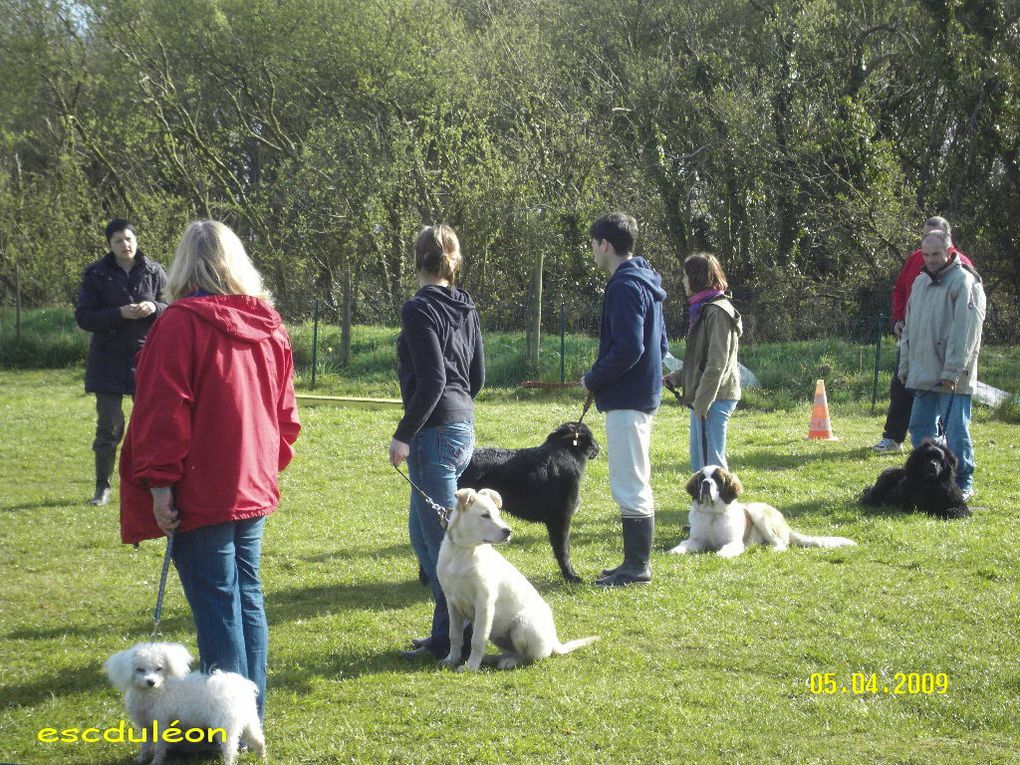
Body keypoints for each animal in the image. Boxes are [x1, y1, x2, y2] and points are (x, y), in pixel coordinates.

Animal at [104, 644, 267, 762]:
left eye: (158, 668)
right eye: (140, 669)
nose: (151, 681)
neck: (156, 691)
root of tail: (241, 687)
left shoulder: (161, 724)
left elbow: (159, 748)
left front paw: (156, 761)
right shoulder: (146, 726)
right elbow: (145, 746)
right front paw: (141, 759)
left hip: (226, 725)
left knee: (230, 749)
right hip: (248, 721)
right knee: (259, 741)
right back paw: (263, 758)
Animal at [432, 487, 595, 673]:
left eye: (497, 514)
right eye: (485, 515)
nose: (508, 531)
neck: (463, 552)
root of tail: (554, 641)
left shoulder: (484, 603)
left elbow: (477, 639)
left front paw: (471, 667)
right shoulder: (452, 602)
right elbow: (454, 635)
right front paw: (451, 659)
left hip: (521, 625)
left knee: (531, 656)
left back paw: (509, 661)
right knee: (511, 651)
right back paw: (493, 658)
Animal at [459, 422, 599, 583]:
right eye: (591, 437)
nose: (599, 447)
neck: (565, 453)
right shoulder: (561, 518)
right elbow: (563, 550)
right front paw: (570, 576)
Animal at [665, 465, 856, 558]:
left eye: (717, 479)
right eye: (702, 478)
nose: (706, 484)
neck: (712, 513)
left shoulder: (734, 542)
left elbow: (728, 548)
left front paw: (722, 554)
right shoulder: (697, 540)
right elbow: (685, 544)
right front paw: (675, 551)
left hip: (758, 513)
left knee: (781, 544)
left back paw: (773, 550)